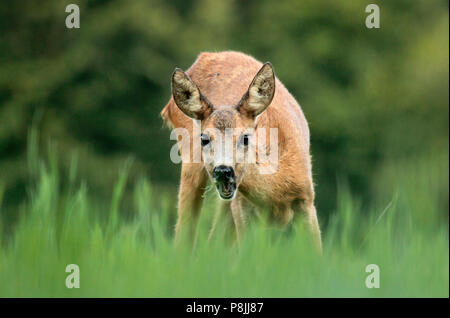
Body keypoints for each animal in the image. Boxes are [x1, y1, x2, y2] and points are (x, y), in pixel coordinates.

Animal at [160, 51, 322, 251]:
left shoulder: (307, 200)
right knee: (184, 234)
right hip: (192, 166)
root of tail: (206, 55)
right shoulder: (242, 211)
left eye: (245, 137)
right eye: (204, 138)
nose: (223, 171)